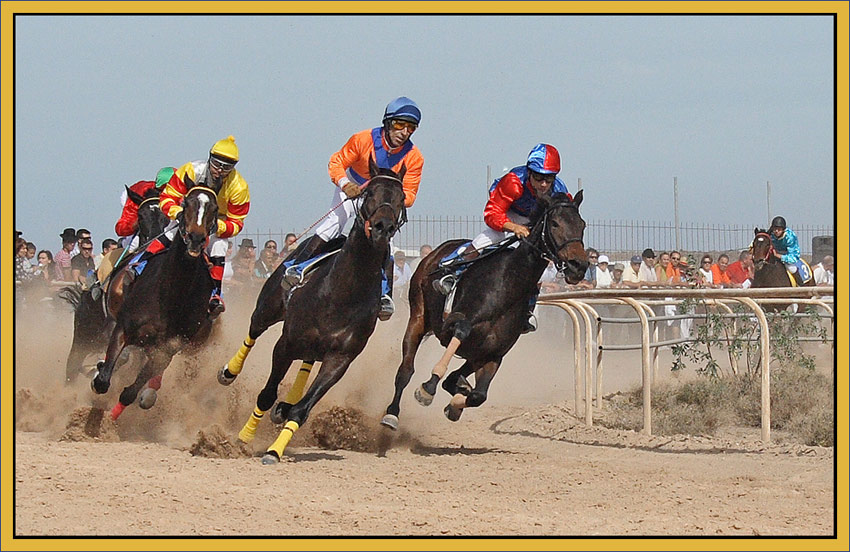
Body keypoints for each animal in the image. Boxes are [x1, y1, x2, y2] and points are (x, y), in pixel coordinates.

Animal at [59, 185, 169, 384]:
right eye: (141, 216)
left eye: (165, 216)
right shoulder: (112, 323)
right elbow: (122, 354)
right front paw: (97, 370)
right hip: (83, 334)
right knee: (72, 365)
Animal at [89, 180, 219, 418]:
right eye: (185, 204)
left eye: (214, 209)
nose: (196, 239)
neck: (170, 295)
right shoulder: (121, 326)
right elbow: (103, 380)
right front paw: (99, 372)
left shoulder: (166, 349)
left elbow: (130, 393)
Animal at [232, 157, 404, 464]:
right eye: (369, 193)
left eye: (401, 198)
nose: (383, 227)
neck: (342, 293)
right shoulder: (286, 343)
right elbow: (266, 394)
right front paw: (244, 437)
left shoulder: (340, 359)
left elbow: (302, 409)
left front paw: (275, 449)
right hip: (268, 307)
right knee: (253, 331)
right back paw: (229, 371)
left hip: (313, 348)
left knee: (306, 364)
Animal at [380, 190, 588, 432]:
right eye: (554, 223)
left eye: (582, 225)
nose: (578, 266)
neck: (508, 285)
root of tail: (434, 254)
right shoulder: (452, 323)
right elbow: (461, 331)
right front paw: (429, 387)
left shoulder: (492, 354)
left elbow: (478, 395)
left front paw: (455, 405)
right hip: (419, 316)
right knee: (405, 370)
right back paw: (391, 414)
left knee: (455, 379)